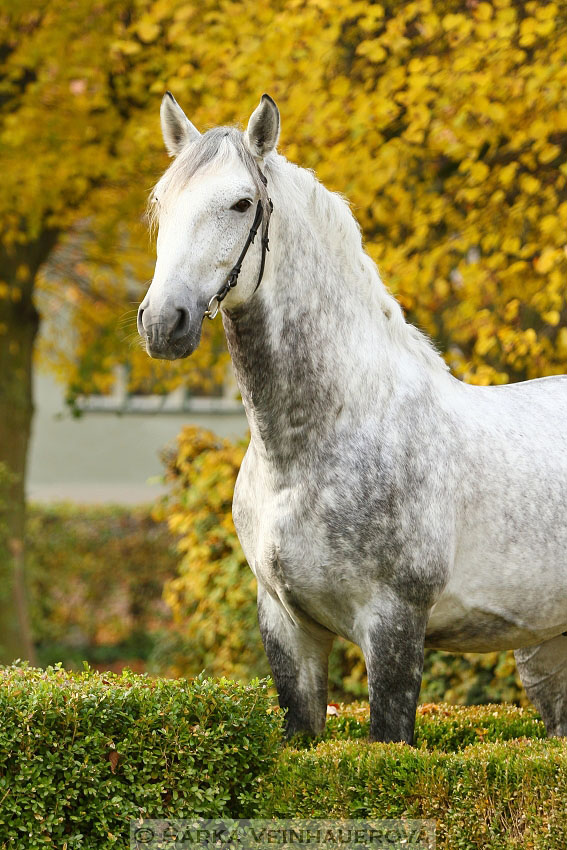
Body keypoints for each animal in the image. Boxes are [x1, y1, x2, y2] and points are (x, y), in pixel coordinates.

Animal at [139, 94, 567, 744]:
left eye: (242, 203)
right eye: (162, 202)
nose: (165, 322)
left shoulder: (393, 626)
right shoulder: (288, 628)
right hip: (545, 649)